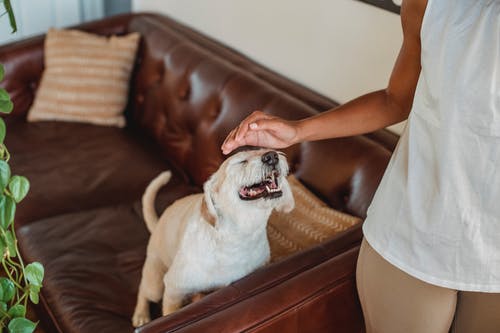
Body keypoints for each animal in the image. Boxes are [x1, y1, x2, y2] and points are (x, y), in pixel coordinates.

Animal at [133, 149, 294, 326]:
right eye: (241, 161)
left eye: (263, 148)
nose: (272, 156)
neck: (239, 238)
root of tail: (157, 226)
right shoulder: (174, 289)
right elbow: (169, 312)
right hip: (155, 285)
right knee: (143, 289)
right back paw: (141, 315)